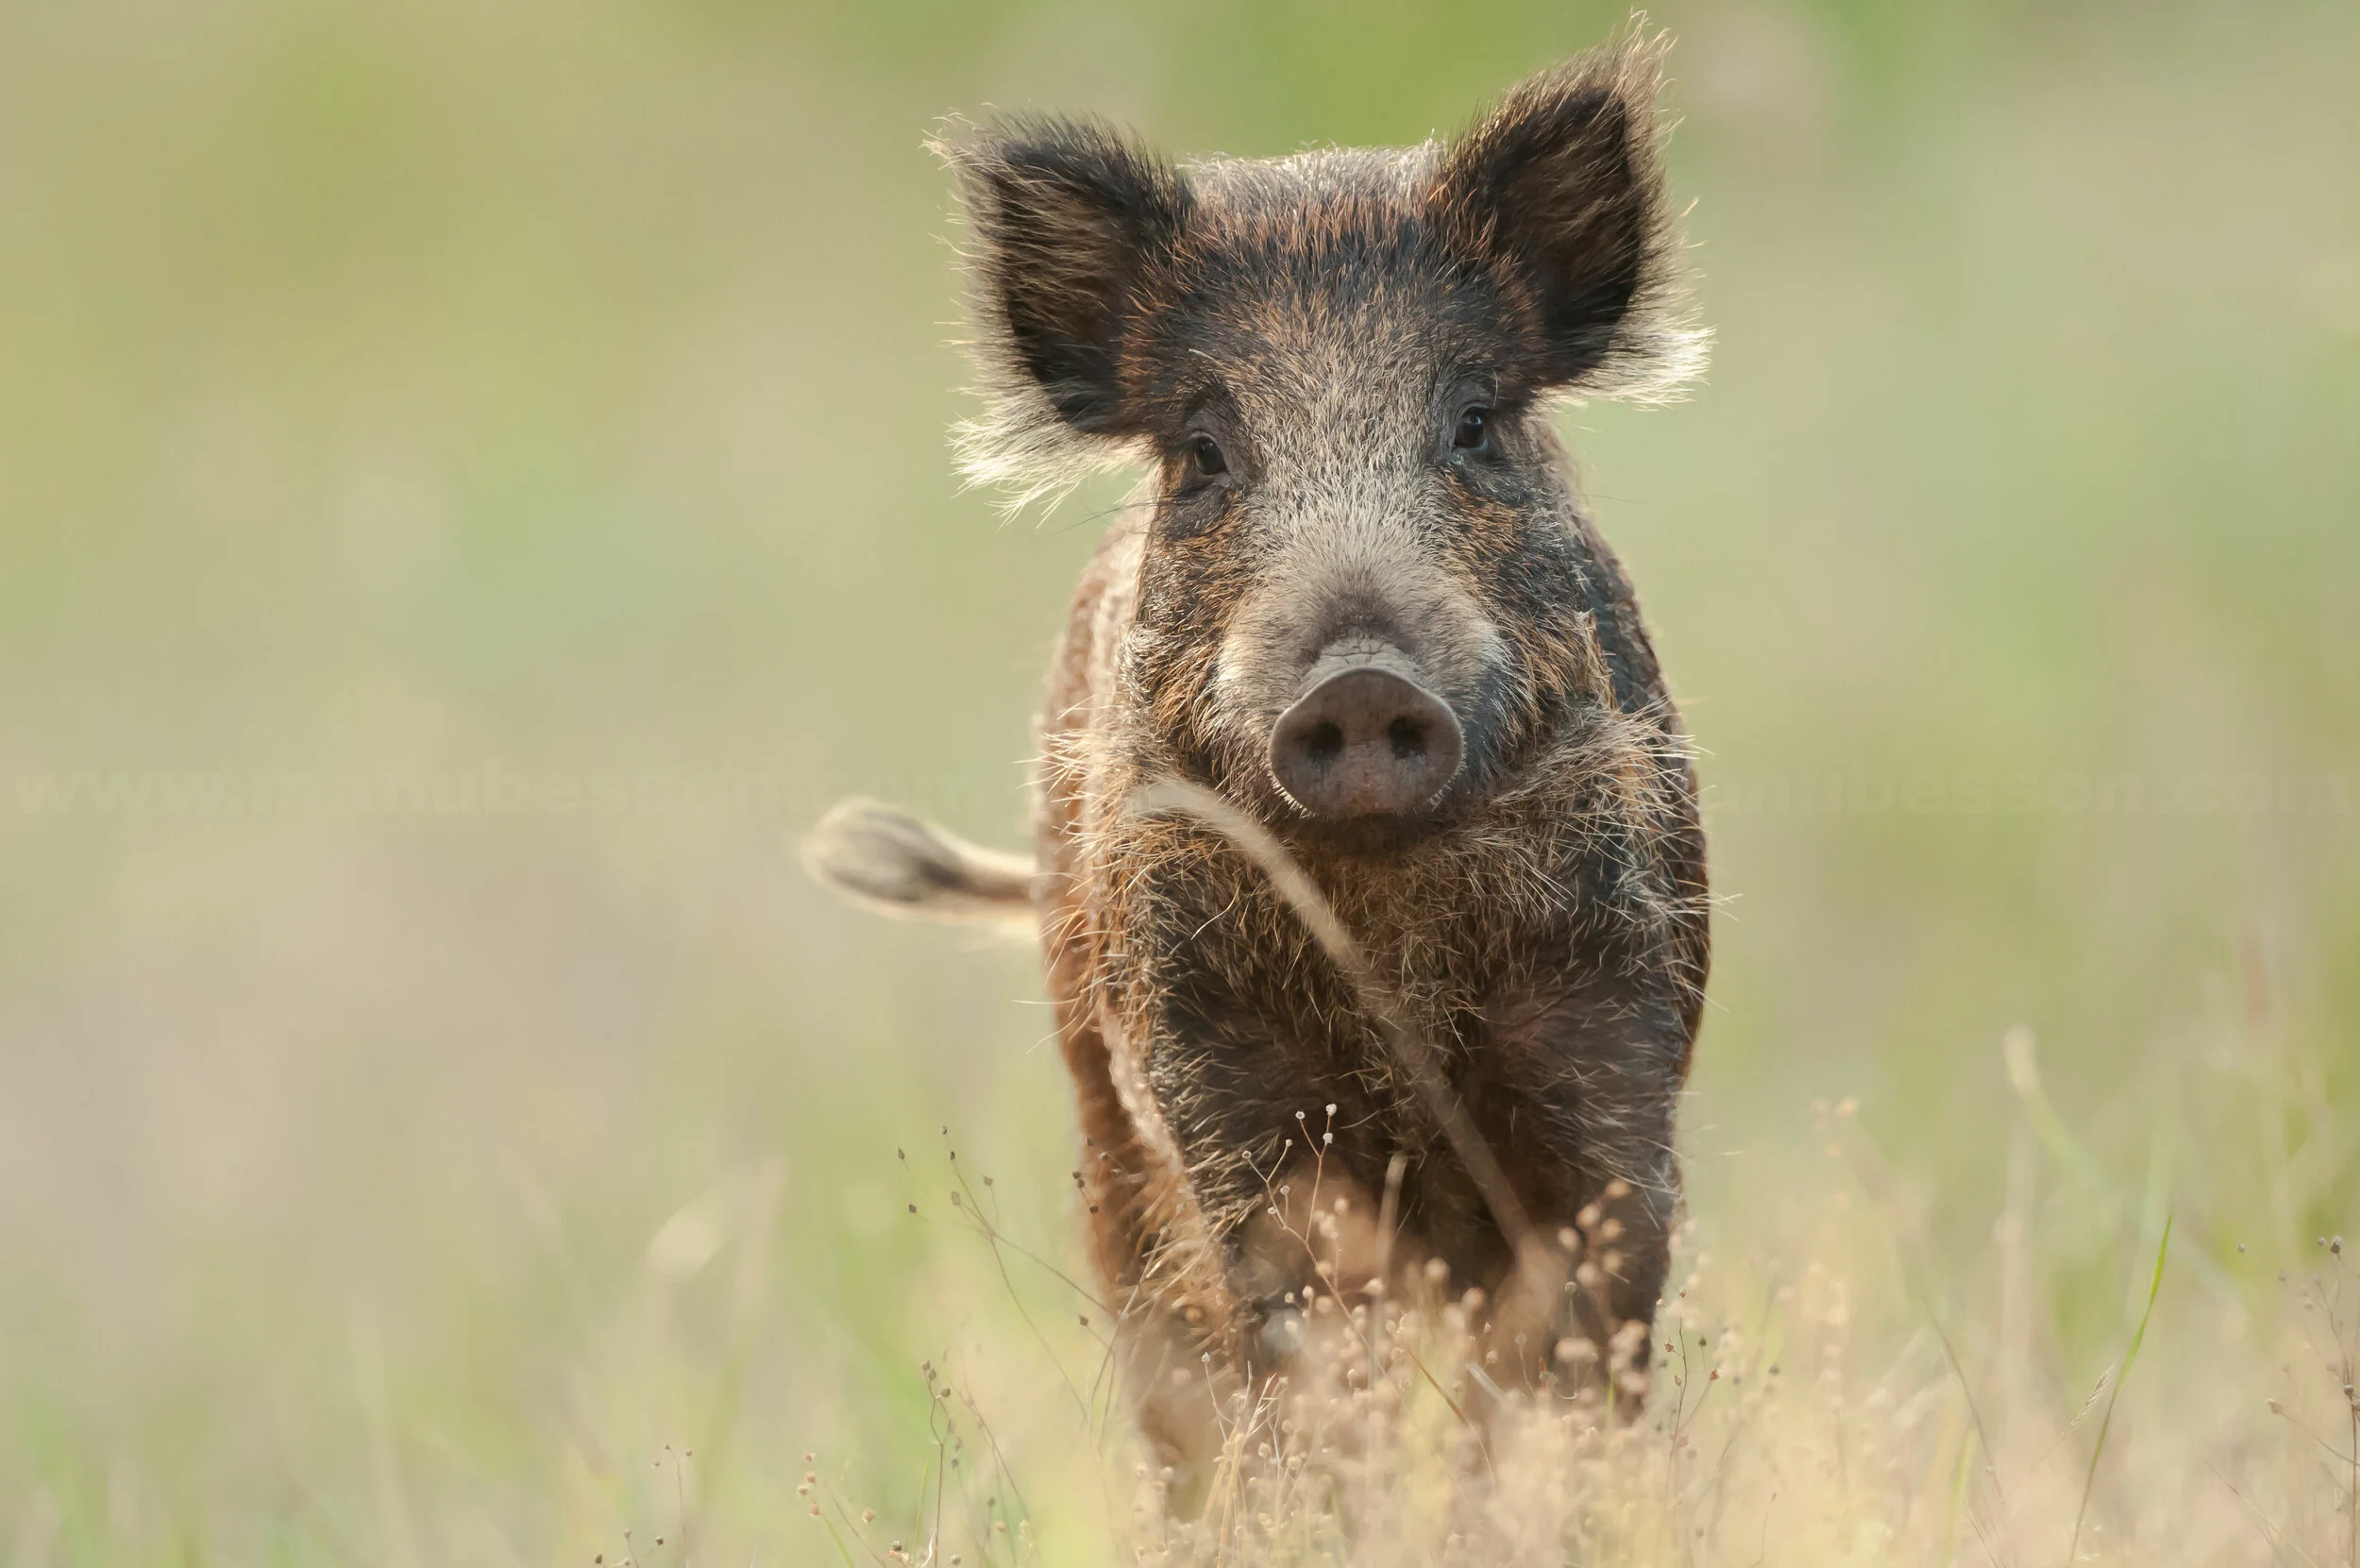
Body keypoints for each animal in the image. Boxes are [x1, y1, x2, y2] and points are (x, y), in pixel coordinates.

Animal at [805, 27, 1711, 1505]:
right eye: (1205, 451)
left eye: (1474, 422)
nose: (1360, 683)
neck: (1390, 942)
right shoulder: (1215, 1082)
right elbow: (1297, 1353)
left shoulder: (1612, 1040)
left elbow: (1575, 1346)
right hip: (1101, 1122)